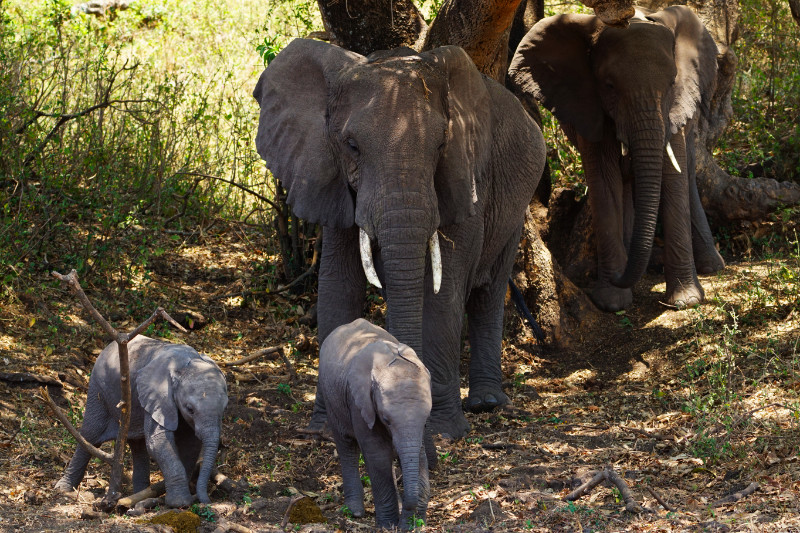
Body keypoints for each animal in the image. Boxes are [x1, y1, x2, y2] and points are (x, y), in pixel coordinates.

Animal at [55, 336, 228, 507]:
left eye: (224, 407)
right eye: (190, 409)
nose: (207, 501)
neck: (187, 363)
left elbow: (190, 444)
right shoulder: (158, 397)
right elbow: (158, 442)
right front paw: (180, 503)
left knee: (138, 446)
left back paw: (140, 496)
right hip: (98, 390)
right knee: (91, 435)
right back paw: (63, 489)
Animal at [252, 39, 545, 438]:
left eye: (440, 146)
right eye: (351, 145)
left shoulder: (466, 178)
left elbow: (443, 293)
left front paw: (441, 431)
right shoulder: (334, 181)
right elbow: (337, 287)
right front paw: (326, 429)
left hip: (514, 207)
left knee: (489, 291)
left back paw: (486, 403)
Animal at [319, 318, 432, 529]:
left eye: (427, 417)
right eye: (386, 419)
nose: (405, 526)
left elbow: (419, 453)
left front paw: (416, 524)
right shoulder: (359, 401)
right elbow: (377, 453)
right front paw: (388, 525)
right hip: (330, 395)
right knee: (346, 445)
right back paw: (355, 511)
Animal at [509, 5, 725, 312]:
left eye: (672, 83)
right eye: (609, 86)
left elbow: (674, 178)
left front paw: (686, 301)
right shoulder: (588, 106)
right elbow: (604, 180)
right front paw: (612, 300)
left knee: (689, 174)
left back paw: (711, 267)